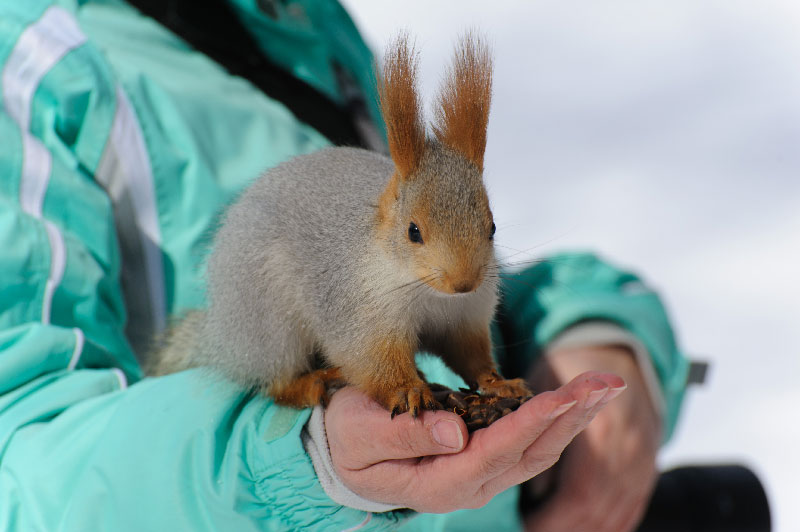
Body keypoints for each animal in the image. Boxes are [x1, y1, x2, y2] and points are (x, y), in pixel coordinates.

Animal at [149, 33, 532, 418]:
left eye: (492, 227)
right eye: (413, 231)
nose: (463, 283)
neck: (430, 293)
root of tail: (221, 334)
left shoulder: (467, 317)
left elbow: (471, 357)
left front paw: (499, 384)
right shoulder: (359, 313)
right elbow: (371, 360)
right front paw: (407, 390)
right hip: (271, 326)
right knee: (275, 383)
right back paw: (313, 381)